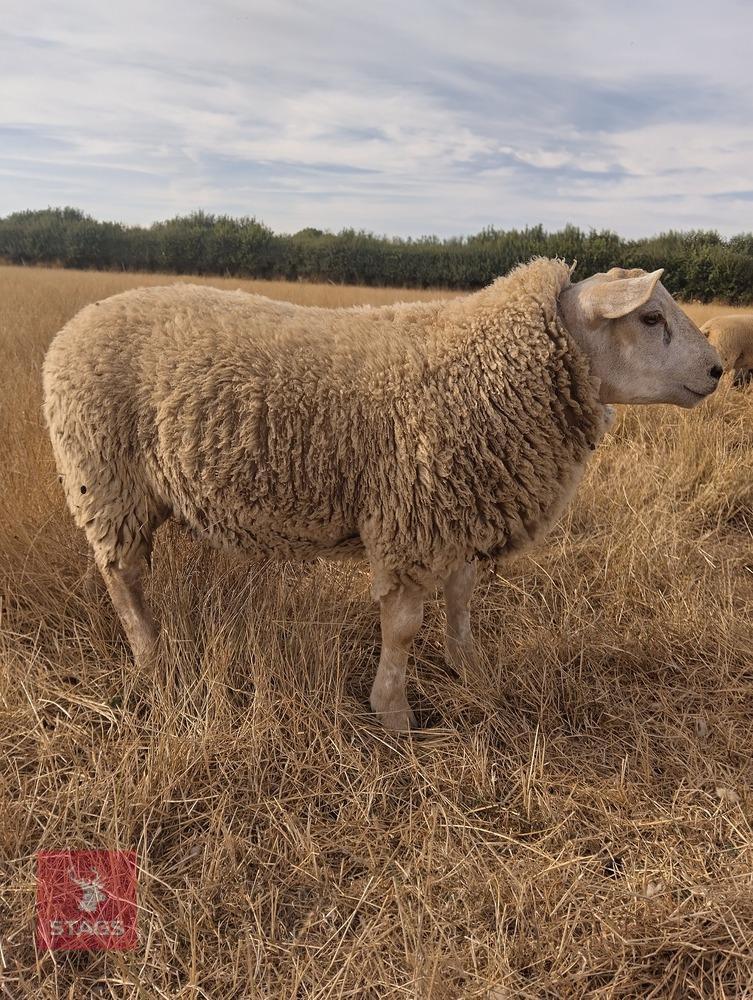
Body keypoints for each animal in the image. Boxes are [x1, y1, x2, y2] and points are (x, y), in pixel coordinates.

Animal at [42, 259, 723, 731]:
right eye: (651, 318)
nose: (718, 371)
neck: (489, 369)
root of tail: (72, 328)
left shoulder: (464, 510)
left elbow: (461, 604)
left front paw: (471, 670)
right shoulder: (413, 522)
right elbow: (401, 628)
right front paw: (392, 712)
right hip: (105, 481)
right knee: (121, 577)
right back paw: (151, 655)